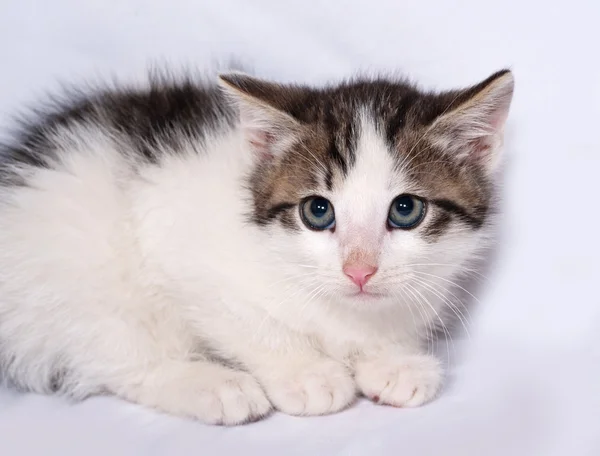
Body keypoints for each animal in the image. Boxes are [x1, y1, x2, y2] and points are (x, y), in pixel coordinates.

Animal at [0, 67, 516, 424]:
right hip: (77, 263)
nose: (359, 270)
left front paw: (394, 360)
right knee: (117, 350)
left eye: (406, 210)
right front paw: (306, 373)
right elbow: (245, 321)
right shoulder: (176, 242)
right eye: (318, 211)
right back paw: (212, 385)